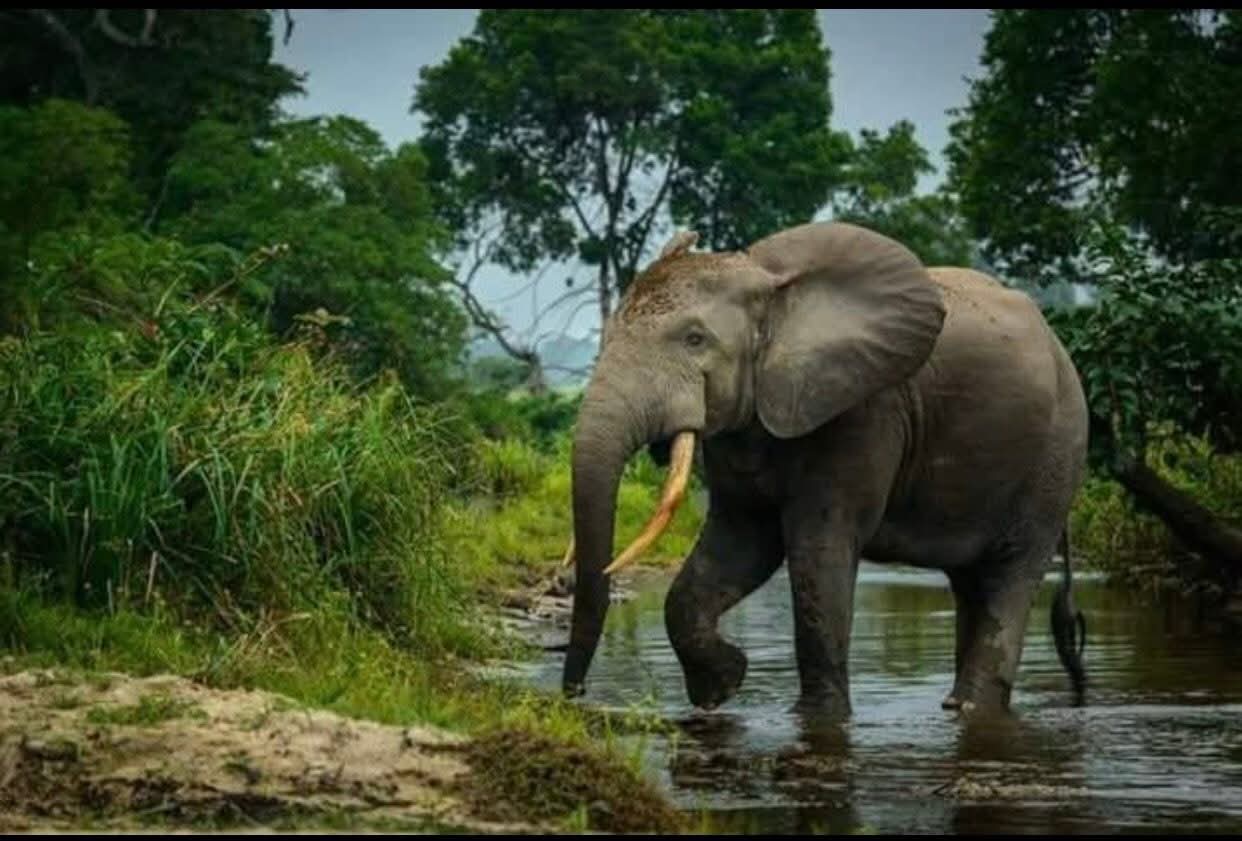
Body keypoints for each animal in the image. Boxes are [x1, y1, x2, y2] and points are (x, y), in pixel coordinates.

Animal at [561, 221, 1089, 717]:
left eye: (695, 340)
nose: (575, 696)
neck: (769, 287)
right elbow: (737, 544)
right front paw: (721, 686)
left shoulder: (862, 410)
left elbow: (818, 550)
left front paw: (817, 718)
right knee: (971, 581)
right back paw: (955, 705)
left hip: (1057, 452)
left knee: (1010, 573)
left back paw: (973, 708)